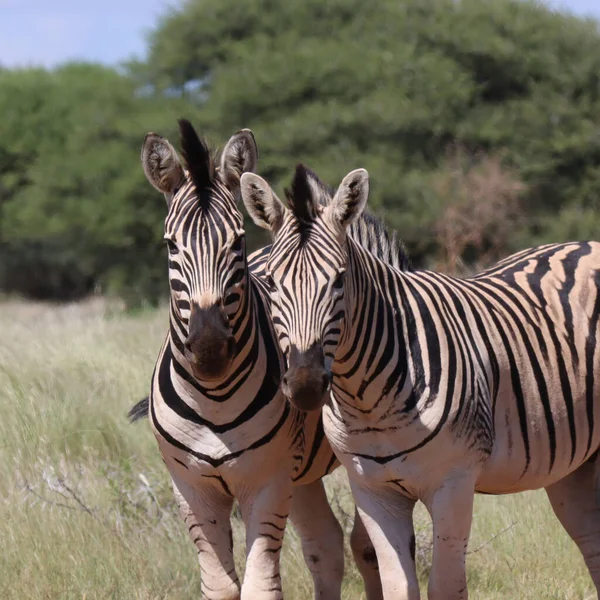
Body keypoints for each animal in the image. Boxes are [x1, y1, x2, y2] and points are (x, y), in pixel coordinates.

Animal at [135, 122, 380, 600]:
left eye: (238, 242)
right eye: (171, 245)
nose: (210, 349)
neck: (212, 397)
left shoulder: (266, 482)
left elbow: (259, 586)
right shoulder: (191, 488)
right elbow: (220, 586)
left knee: (366, 546)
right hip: (300, 474)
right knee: (325, 544)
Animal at [241, 165, 600, 600]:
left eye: (339, 281)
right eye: (271, 283)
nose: (306, 384)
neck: (368, 400)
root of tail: (586, 244)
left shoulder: (453, 484)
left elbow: (445, 587)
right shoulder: (374, 492)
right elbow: (397, 585)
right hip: (575, 463)